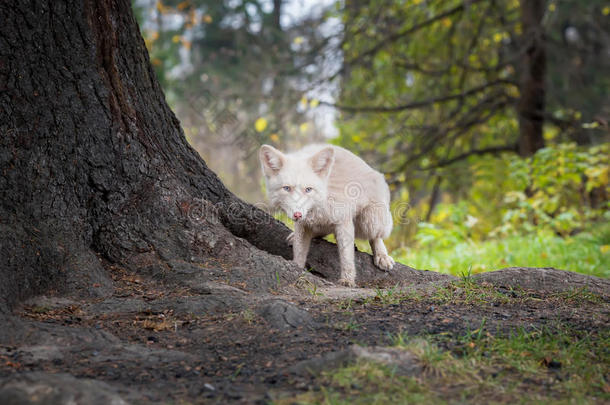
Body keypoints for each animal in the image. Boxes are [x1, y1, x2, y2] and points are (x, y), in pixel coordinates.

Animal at [258, 144, 394, 286]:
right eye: (286, 188)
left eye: (308, 189)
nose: (297, 214)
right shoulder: (303, 224)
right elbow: (299, 251)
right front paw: (297, 267)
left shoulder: (343, 220)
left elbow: (347, 257)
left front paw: (348, 280)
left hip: (370, 220)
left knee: (376, 236)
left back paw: (382, 256)